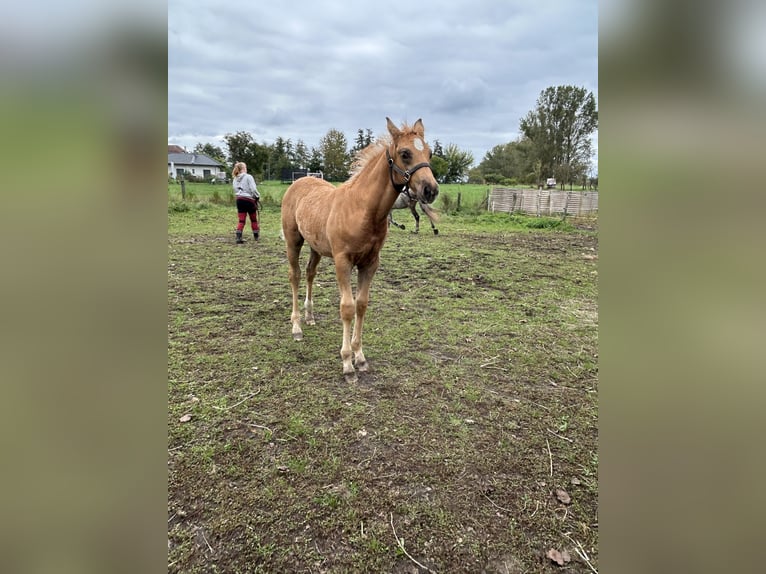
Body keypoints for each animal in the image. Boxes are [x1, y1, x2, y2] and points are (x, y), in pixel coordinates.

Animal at [282, 117, 440, 384]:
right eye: (405, 153)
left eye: (429, 152)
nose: (431, 190)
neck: (363, 209)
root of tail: (299, 182)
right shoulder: (342, 261)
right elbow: (347, 307)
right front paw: (347, 364)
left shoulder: (370, 263)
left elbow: (362, 304)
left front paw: (360, 357)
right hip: (294, 241)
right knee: (295, 276)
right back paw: (296, 327)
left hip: (316, 246)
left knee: (310, 273)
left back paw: (310, 317)